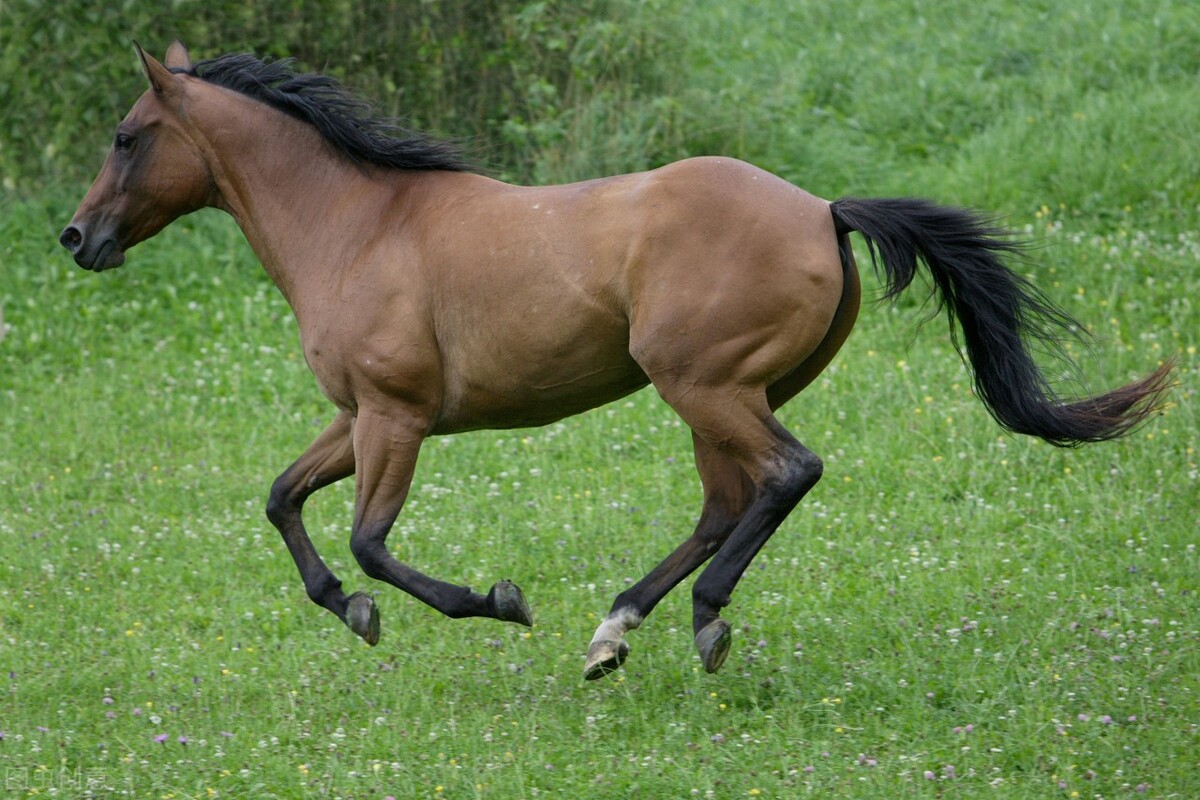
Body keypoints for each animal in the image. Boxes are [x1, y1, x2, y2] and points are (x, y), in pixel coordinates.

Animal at [61, 42, 1173, 680]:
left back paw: (700, 620)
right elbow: (282, 499)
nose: (76, 238)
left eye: (125, 136)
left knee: (787, 474)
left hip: (705, 384)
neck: (358, 223)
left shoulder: (396, 416)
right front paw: (353, 612)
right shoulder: (353, 415)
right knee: (729, 501)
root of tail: (820, 208)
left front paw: (492, 603)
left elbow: (372, 540)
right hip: (726, 392)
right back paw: (616, 631)